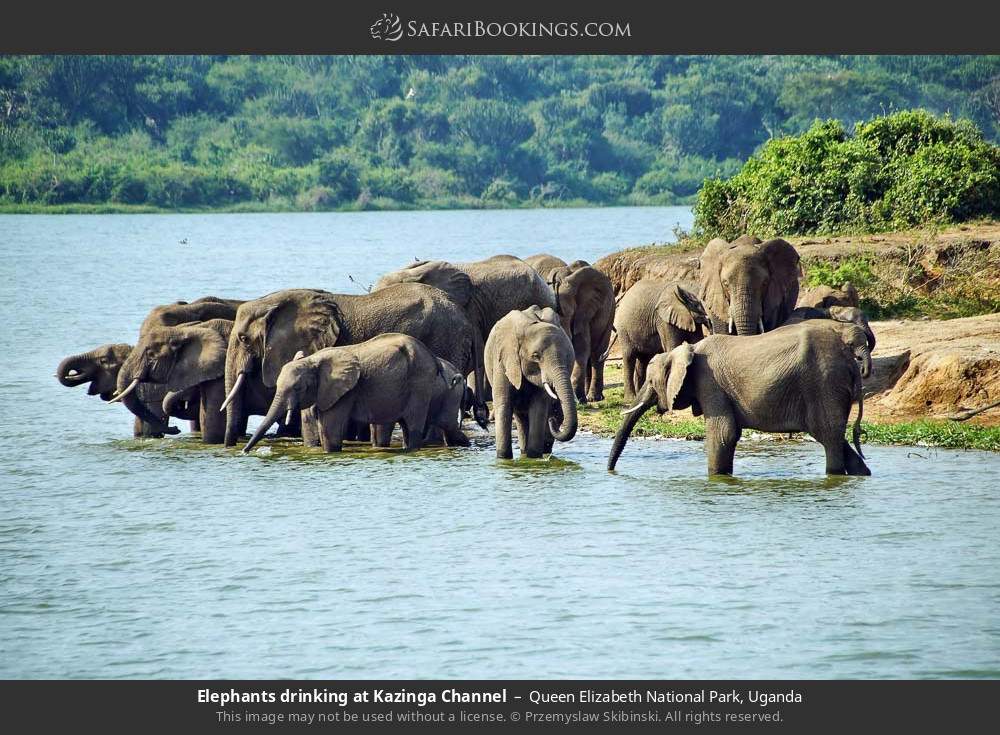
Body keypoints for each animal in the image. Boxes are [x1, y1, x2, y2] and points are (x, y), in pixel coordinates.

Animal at [484, 306, 580, 460]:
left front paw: (533, 457)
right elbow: (504, 405)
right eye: (536, 356)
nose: (552, 421)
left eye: (568, 356)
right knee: (519, 416)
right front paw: (504, 459)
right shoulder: (503, 362)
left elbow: (539, 407)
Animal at [604, 322, 872, 478]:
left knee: (828, 438)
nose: (610, 471)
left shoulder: (710, 383)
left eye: (650, 382)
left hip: (824, 385)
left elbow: (724, 433)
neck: (687, 349)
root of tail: (850, 361)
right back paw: (862, 473)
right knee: (833, 437)